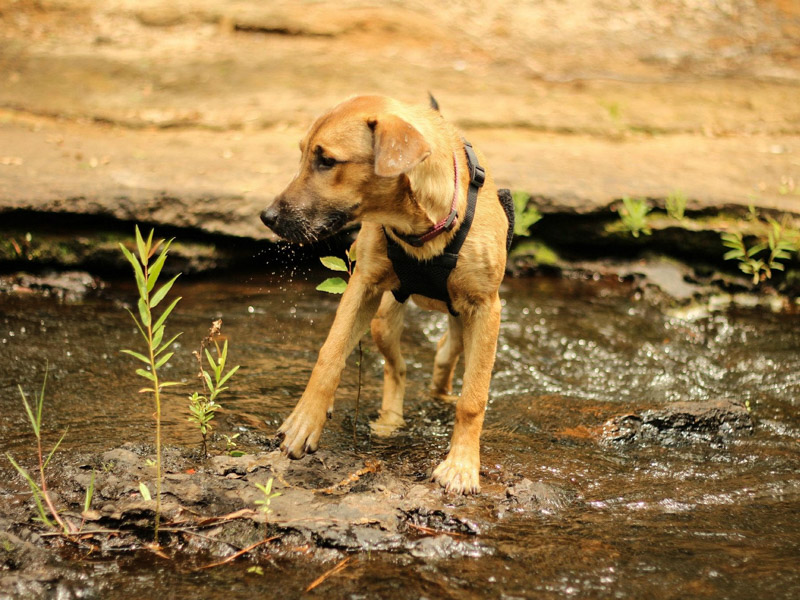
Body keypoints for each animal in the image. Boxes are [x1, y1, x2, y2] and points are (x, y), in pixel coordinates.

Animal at [260, 95, 510, 492]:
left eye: (326, 161)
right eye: (303, 154)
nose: (267, 217)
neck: (422, 226)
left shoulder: (486, 307)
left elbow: (473, 398)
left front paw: (461, 466)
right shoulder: (364, 285)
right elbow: (329, 354)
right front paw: (304, 422)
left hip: (468, 320)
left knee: (447, 353)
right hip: (383, 320)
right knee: (398, 368)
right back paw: (390, 420)